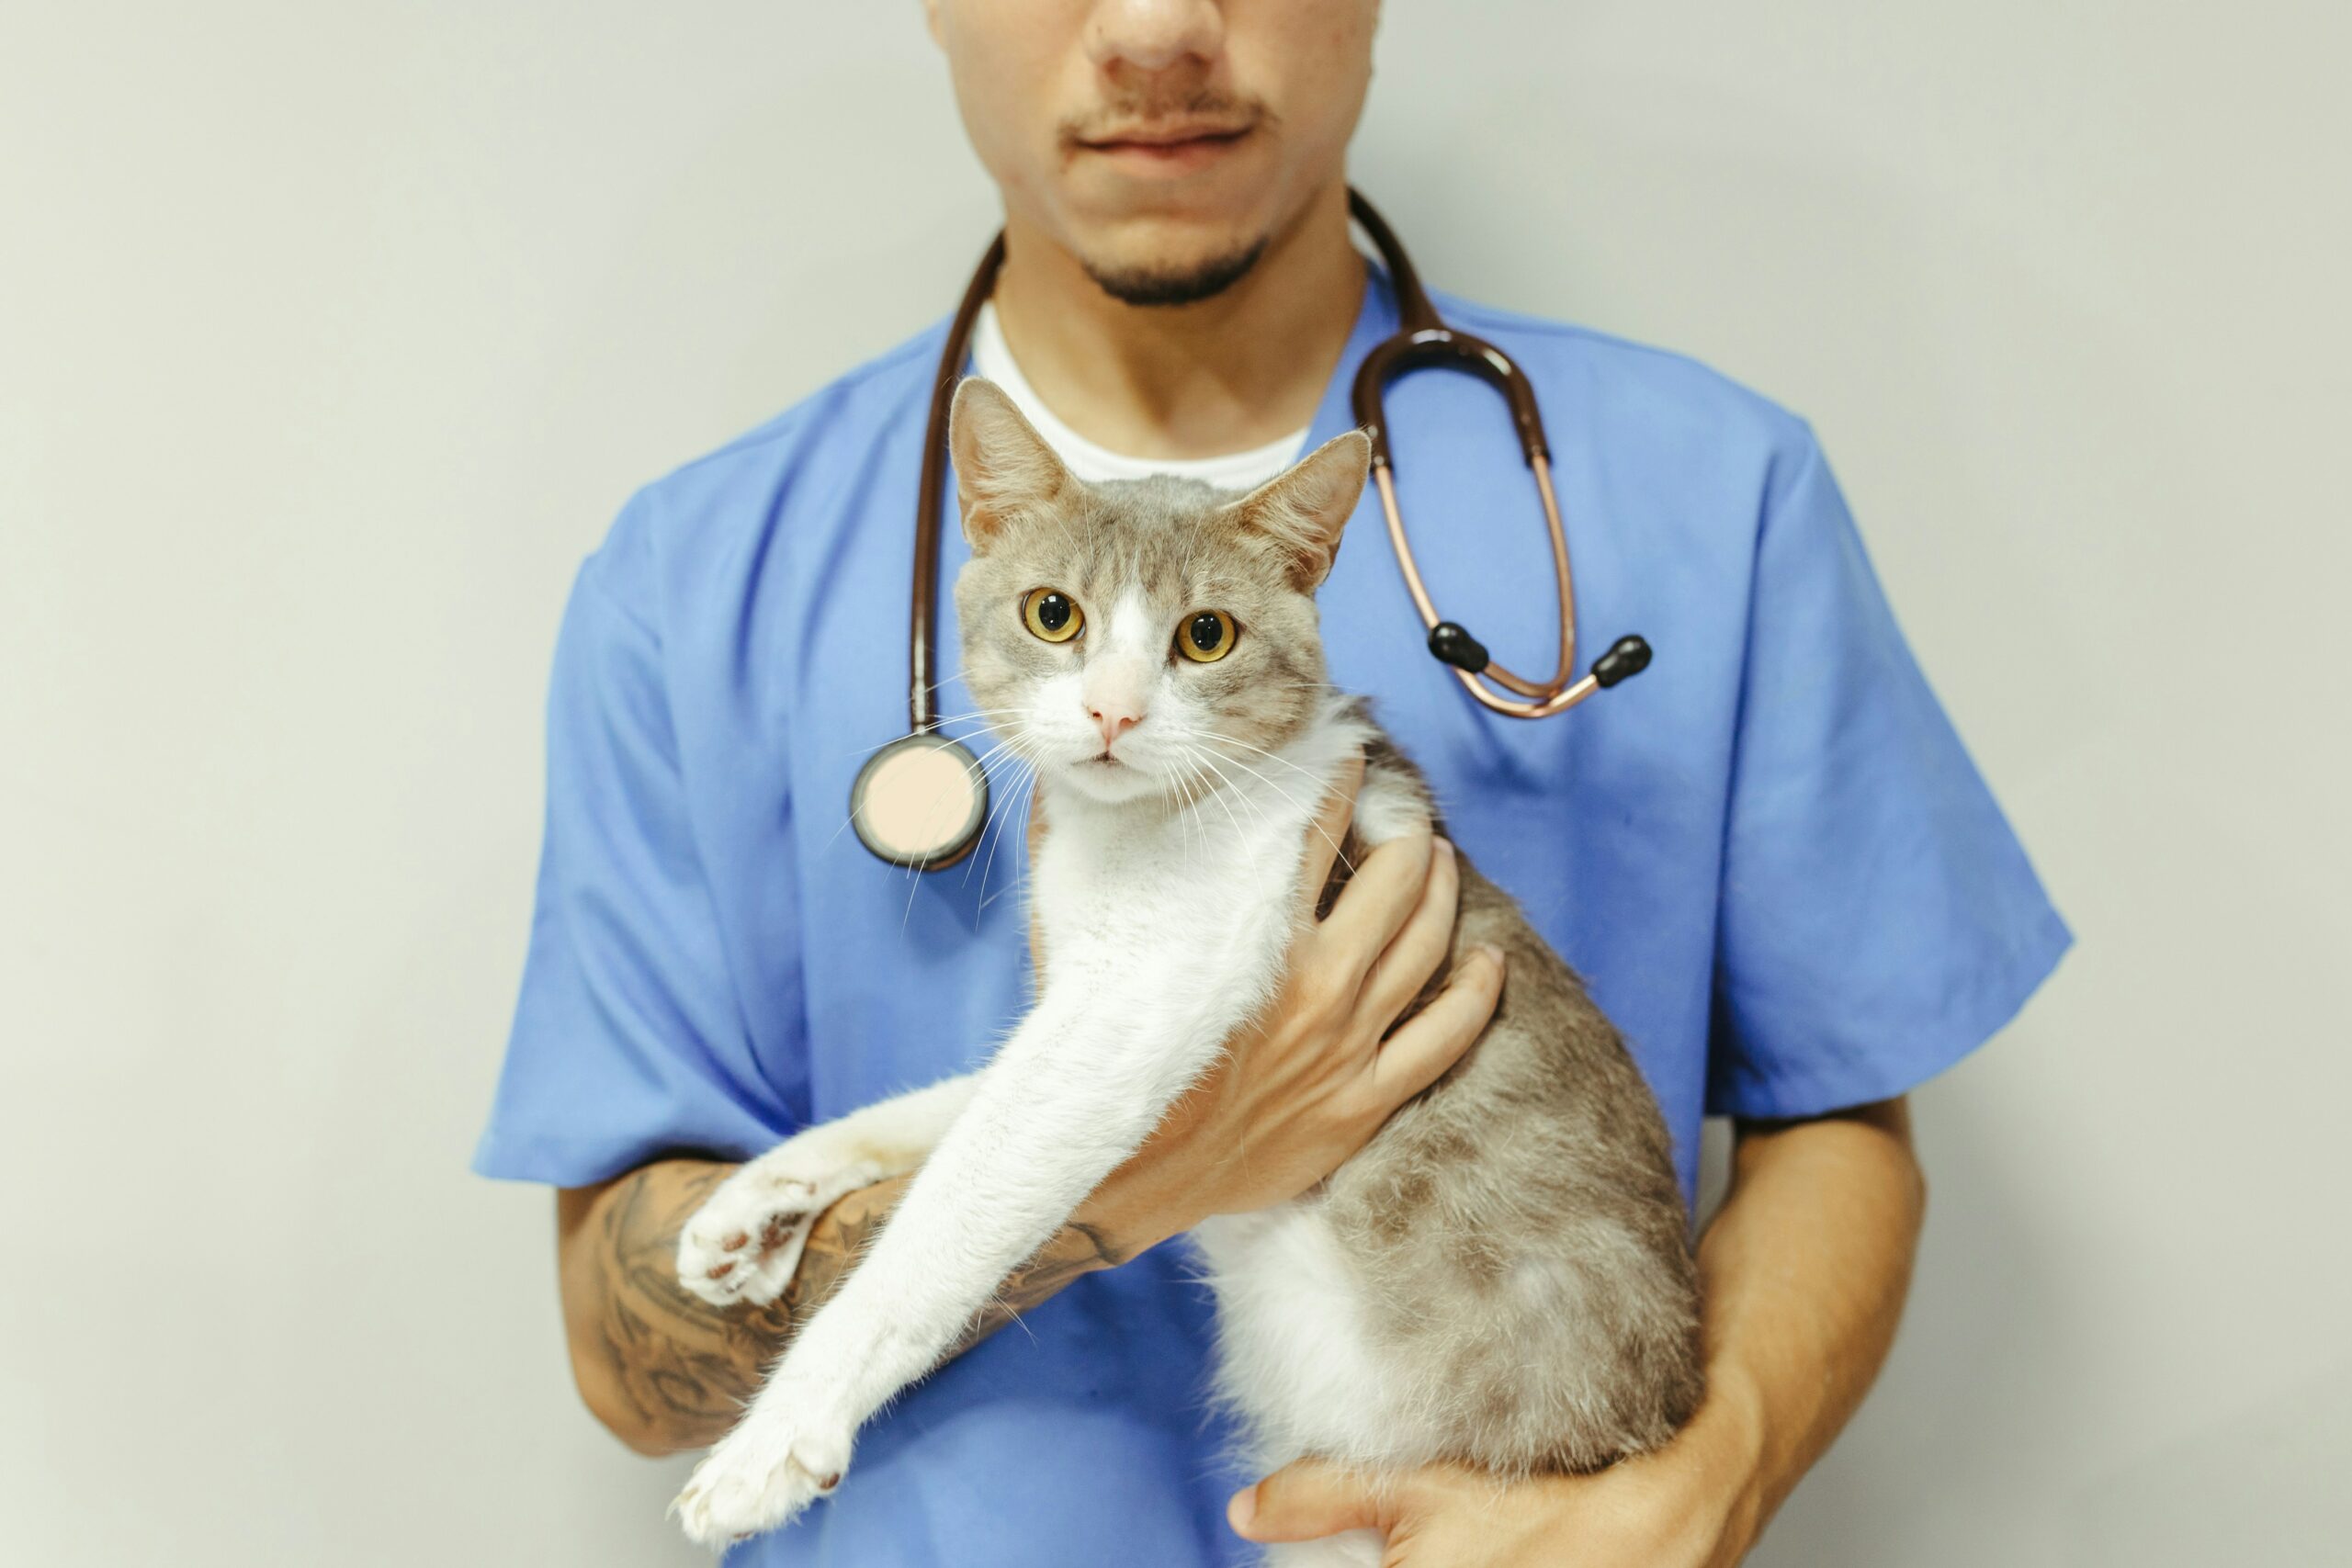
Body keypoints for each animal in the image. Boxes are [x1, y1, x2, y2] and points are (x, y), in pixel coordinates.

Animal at [673, 376, 1702, 1561]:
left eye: (1205, 636)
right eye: (1053, 614)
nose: (1113, 709)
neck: (1123, 833)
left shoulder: (1138, 996)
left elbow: (960, 1195)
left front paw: (772, 1441)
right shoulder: (1074, 999)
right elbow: (939, 1113)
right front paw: (757, 1205)